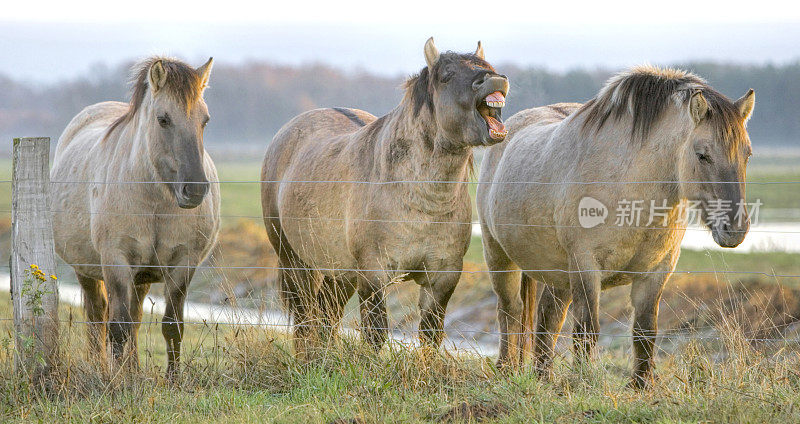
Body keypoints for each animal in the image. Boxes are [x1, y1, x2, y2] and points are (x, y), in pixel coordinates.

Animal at [262, 37, 512, 358]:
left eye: (487, 66)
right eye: (446, 76)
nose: (494, 80)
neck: (422, 203)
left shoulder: (442, 277)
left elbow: (430, 336)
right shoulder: (374, 274)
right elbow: (375, 334)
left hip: (339, 271)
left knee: (326, 315)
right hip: (296, 262)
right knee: (305, 318)